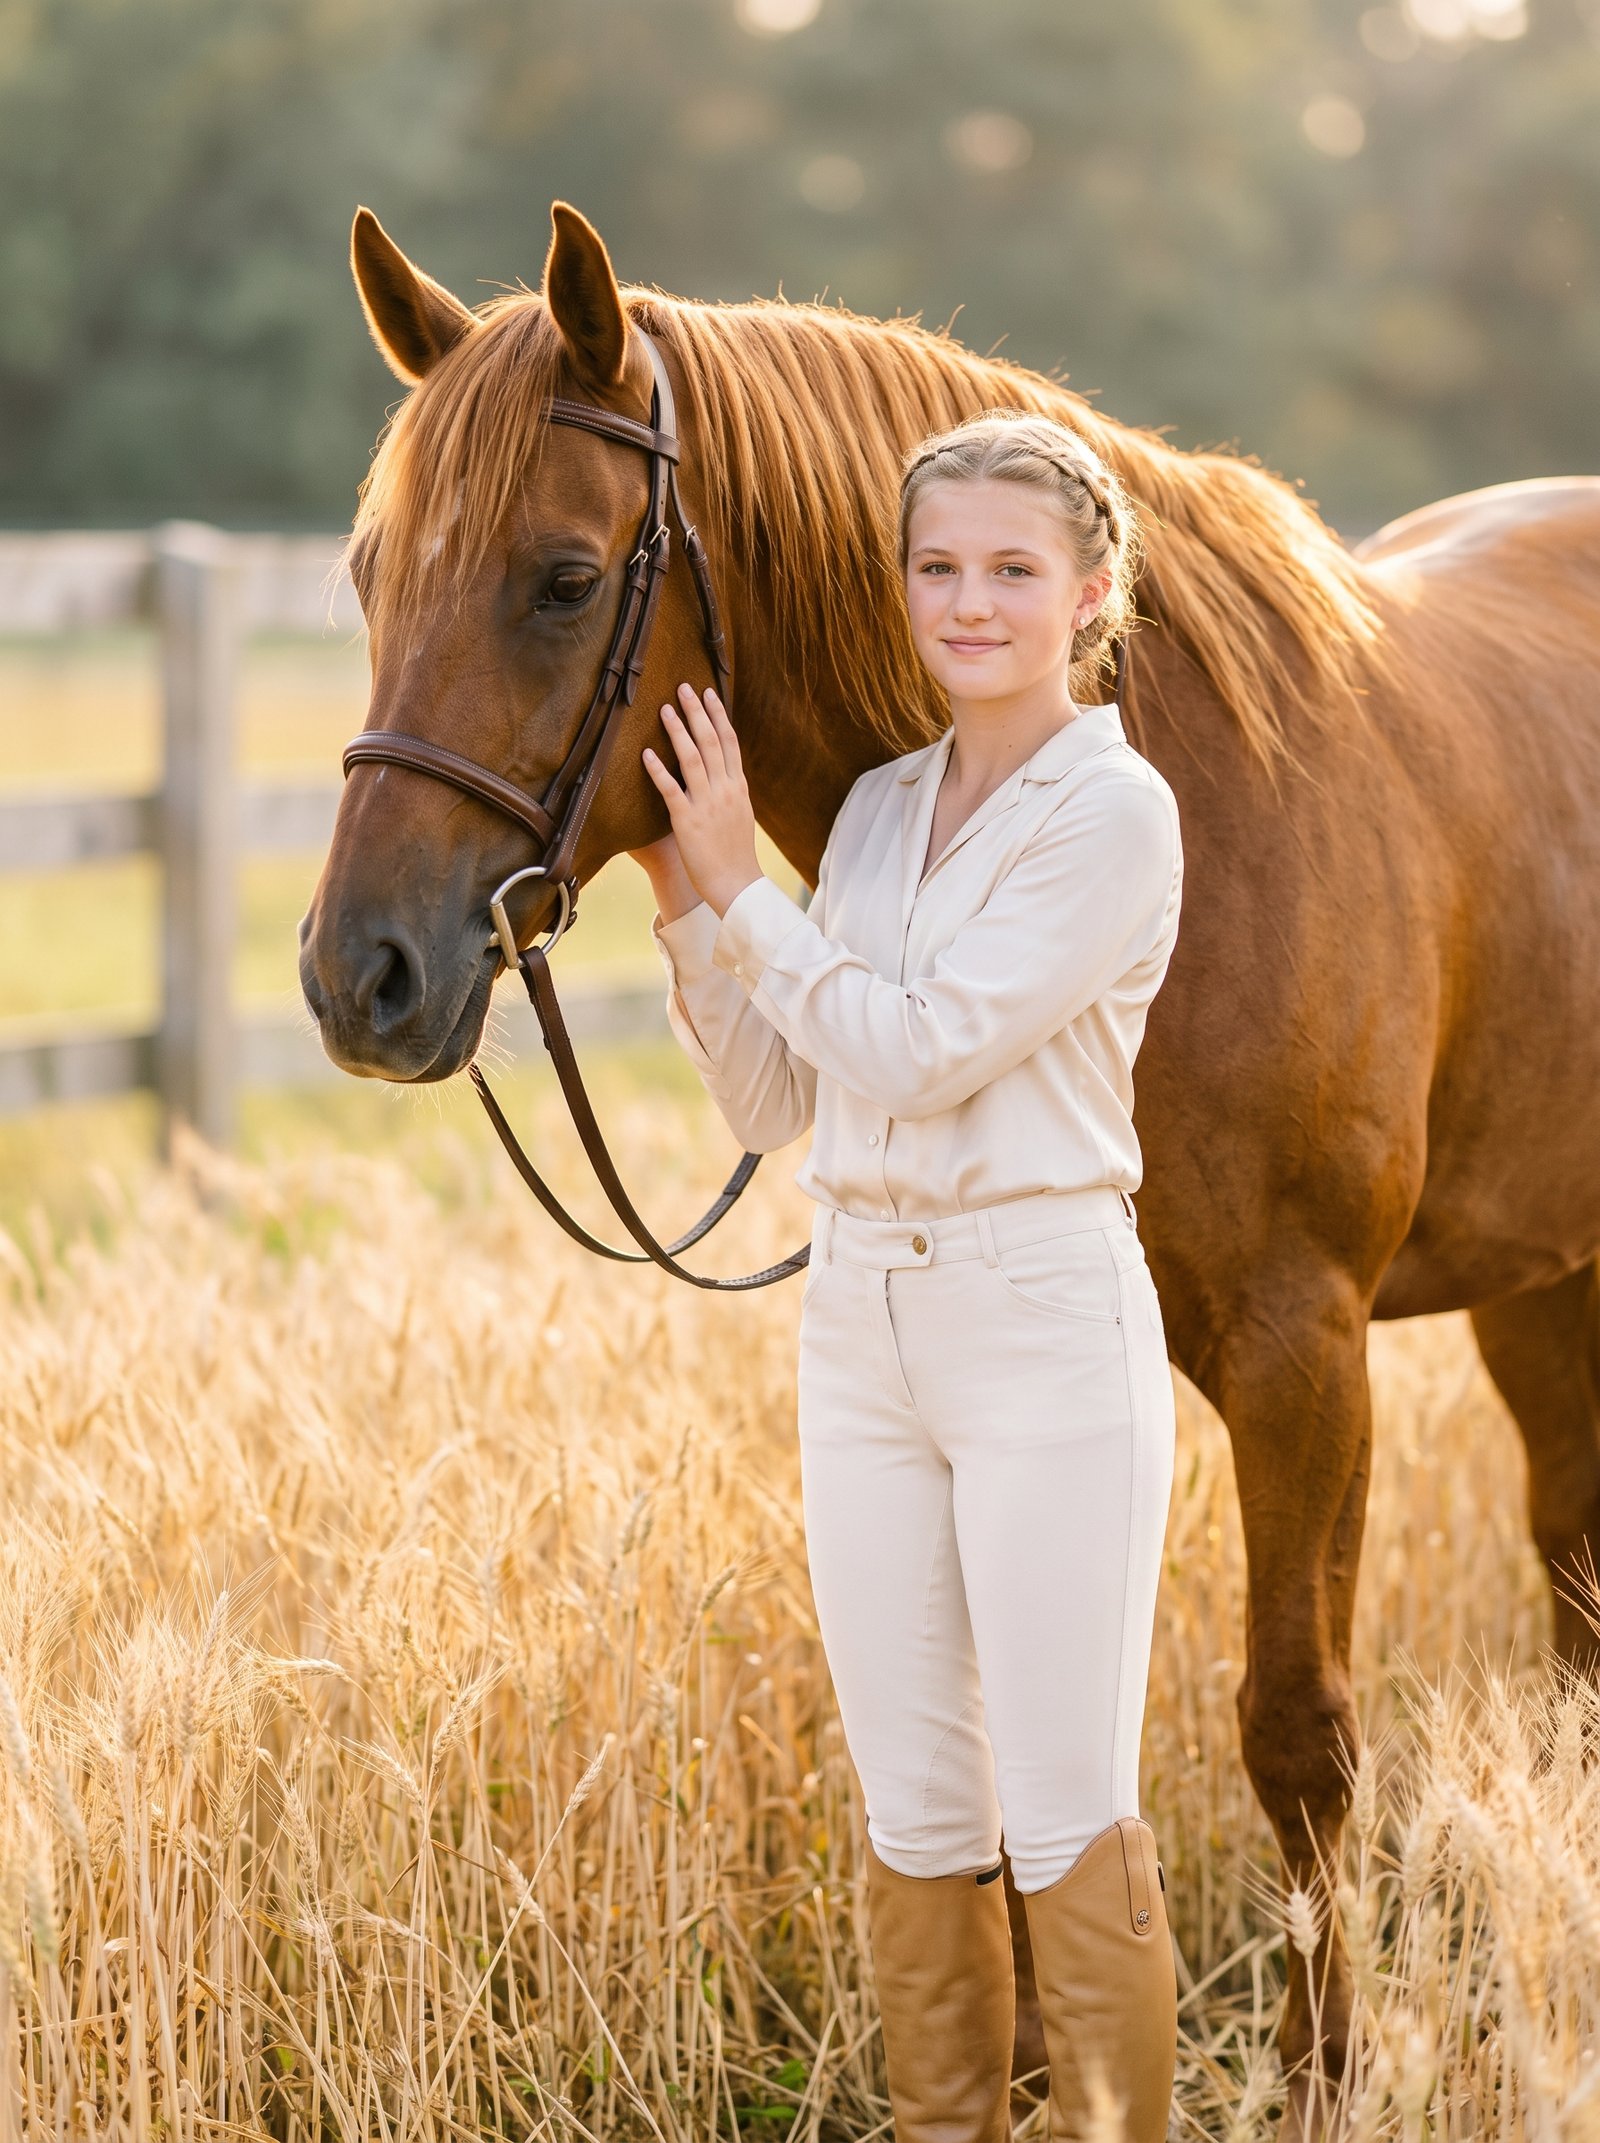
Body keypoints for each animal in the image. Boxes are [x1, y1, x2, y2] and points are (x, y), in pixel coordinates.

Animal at [298, 199, 1600, 2130]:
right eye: (372, 572)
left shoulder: (1304, 1354)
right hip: (1542, 1279)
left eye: (561, 576)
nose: (359, 975)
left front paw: (1321, 2077)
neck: (1205, 805)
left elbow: (1297, 1726)